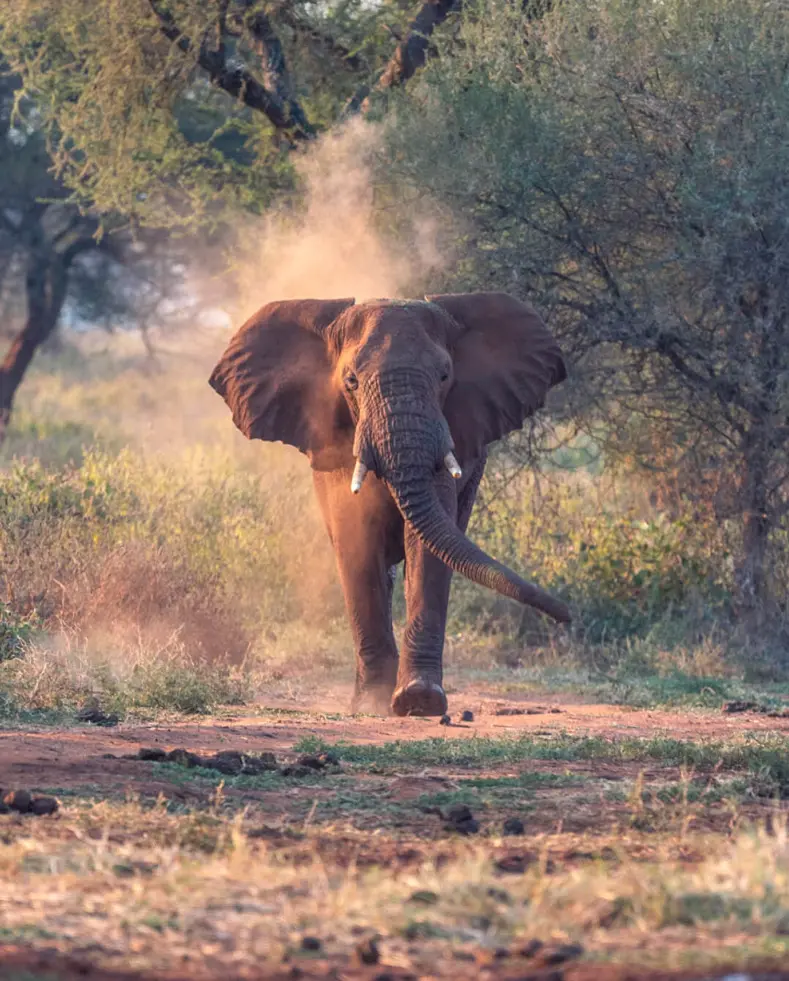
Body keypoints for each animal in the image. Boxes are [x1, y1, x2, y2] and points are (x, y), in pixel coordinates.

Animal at [209, 291, 570, 717]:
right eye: (351, 381)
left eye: (444, 376)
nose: (567, 615)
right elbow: (357, 541)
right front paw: (373, 703)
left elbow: (428, 549)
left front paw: (420, 699)